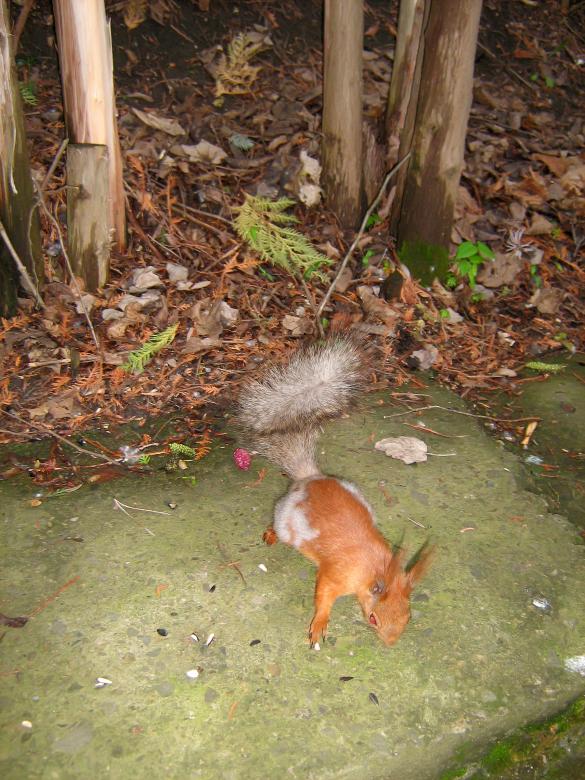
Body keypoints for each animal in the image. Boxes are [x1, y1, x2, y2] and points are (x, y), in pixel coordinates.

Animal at [237, 338, 433, 647]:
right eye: (373, 618)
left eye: (408, 616)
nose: (390, 643)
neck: (375, 569)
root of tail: (310, 478)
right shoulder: (335, 575)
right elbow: (324, 596)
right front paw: (319, 625)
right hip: (286, 519)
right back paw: (271, 534)